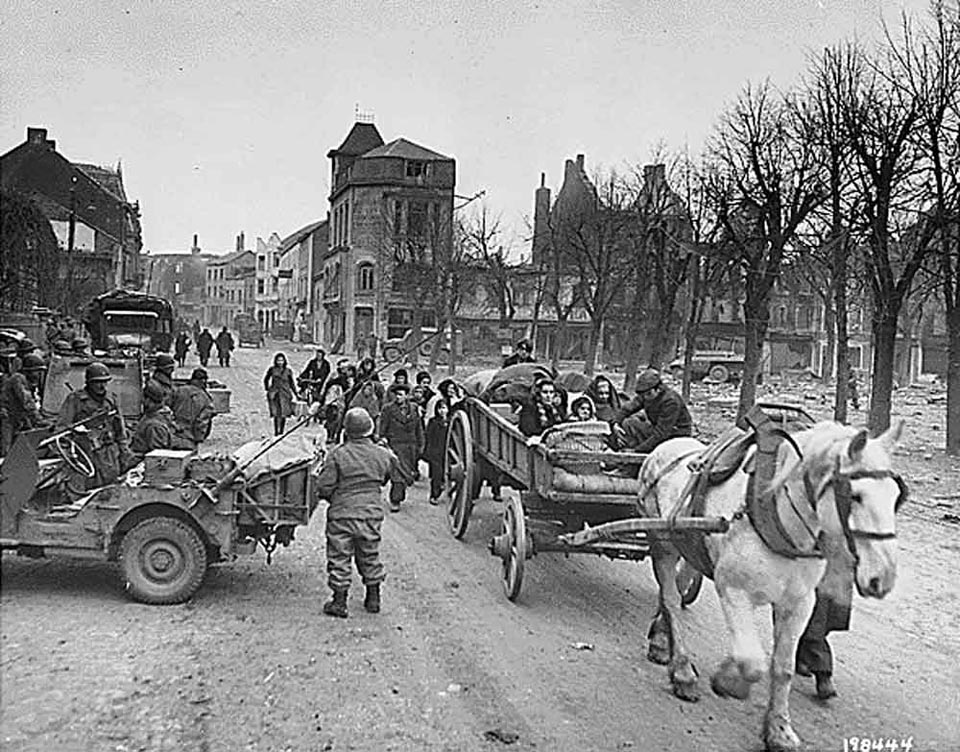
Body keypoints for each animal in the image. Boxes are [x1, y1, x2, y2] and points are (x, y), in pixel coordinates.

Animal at [640, 424, 904, 752]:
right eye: (855, 496)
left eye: (896, 497)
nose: (884, 578)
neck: (778, 519)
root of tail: (665, 448)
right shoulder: (733, 590)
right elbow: (751, 660)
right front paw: (729, 680)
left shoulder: (799, 604)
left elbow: (783, 668)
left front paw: (779, 729)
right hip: (662, 545)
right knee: (672, 600)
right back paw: (682, 672)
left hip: (689, 546)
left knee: (677, 588)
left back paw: (660, 639)